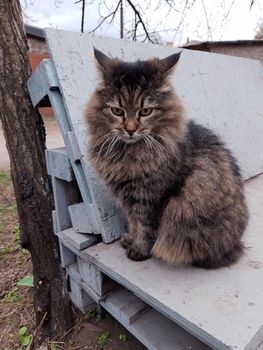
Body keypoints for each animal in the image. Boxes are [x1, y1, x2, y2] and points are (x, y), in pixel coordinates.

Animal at [86, 47, 250, 270]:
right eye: (117, 111)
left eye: (146, 111)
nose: (130, 130)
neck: (129, 154)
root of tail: (235, 244)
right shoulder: (128, 198)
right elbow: (133, 223)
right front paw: (130, 240)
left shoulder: (150, 198)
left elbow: (145, 228)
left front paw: (139, 251)